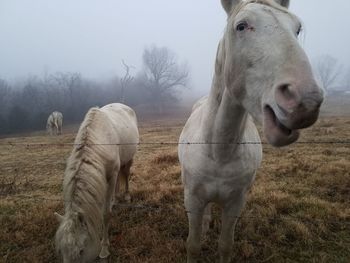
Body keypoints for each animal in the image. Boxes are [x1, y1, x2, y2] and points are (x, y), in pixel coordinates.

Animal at [54, 103, 139, 263]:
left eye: (81, 251)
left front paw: (104, 249)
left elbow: (105, 214)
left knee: (125, 174)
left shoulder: (111, 175)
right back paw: (115, 200)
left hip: (128, 159)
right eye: (61, 251)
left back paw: (126, 196)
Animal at [179, 1, 324, 262]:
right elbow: (193, 244)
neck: (219, 151)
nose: (305, 101)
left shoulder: (236, 202)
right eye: (241, 26)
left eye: (297, 28)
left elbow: (226, 245)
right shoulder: (193, 200)